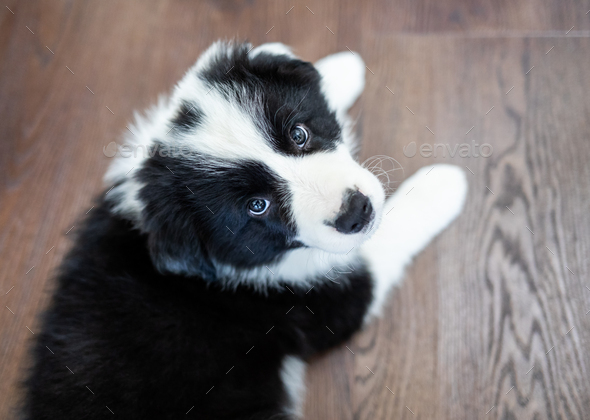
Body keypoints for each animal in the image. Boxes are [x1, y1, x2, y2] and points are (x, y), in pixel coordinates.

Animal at [23, 40, 470, 420]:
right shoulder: (324, 300)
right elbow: (388, 236)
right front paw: (442, 185)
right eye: (257, 206)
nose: (356, 212)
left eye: (299, 134)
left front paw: (335, 69)